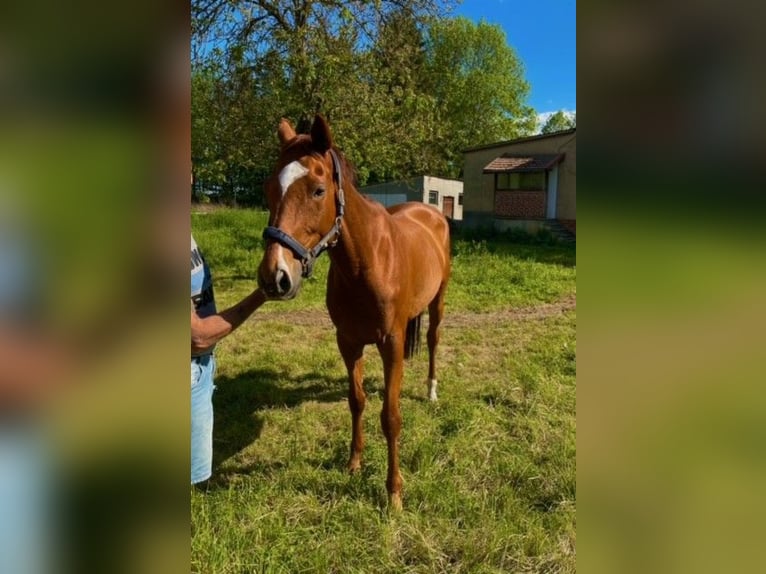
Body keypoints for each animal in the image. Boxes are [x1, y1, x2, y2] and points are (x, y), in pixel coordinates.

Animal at [258, 115, 450, 510]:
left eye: (318, 190)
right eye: (269, 187)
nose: (274, 277)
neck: (367, 260)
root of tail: (432, 213)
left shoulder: (391, 344)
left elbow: (390, 417)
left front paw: (394, 493)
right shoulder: (348, 342)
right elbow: (357, 401)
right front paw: (354, 463)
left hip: (438, 301)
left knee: (433, 339)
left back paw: (431, 390)